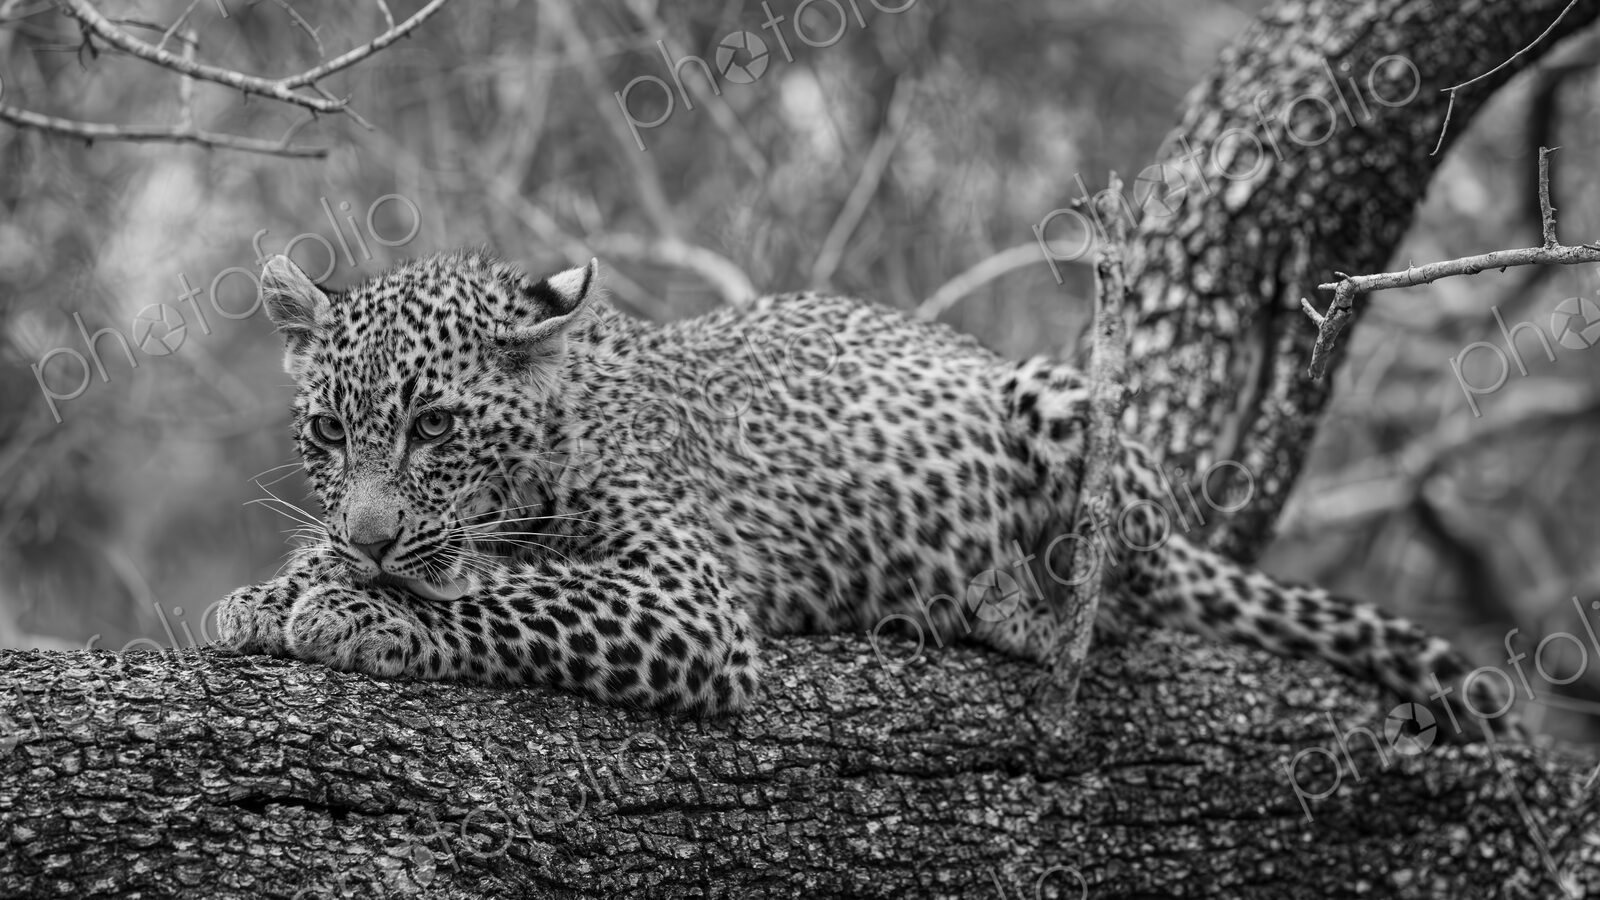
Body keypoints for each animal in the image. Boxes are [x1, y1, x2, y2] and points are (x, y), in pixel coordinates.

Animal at [215, 248, 1516, 738]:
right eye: (328, 431)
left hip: (1055, 399)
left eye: (435, 426)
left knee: (1115, 596)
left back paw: (1017, 606)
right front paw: (276, 590)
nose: (372, 537)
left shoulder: (688, 605)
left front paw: (362, 609)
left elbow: (512, 600)